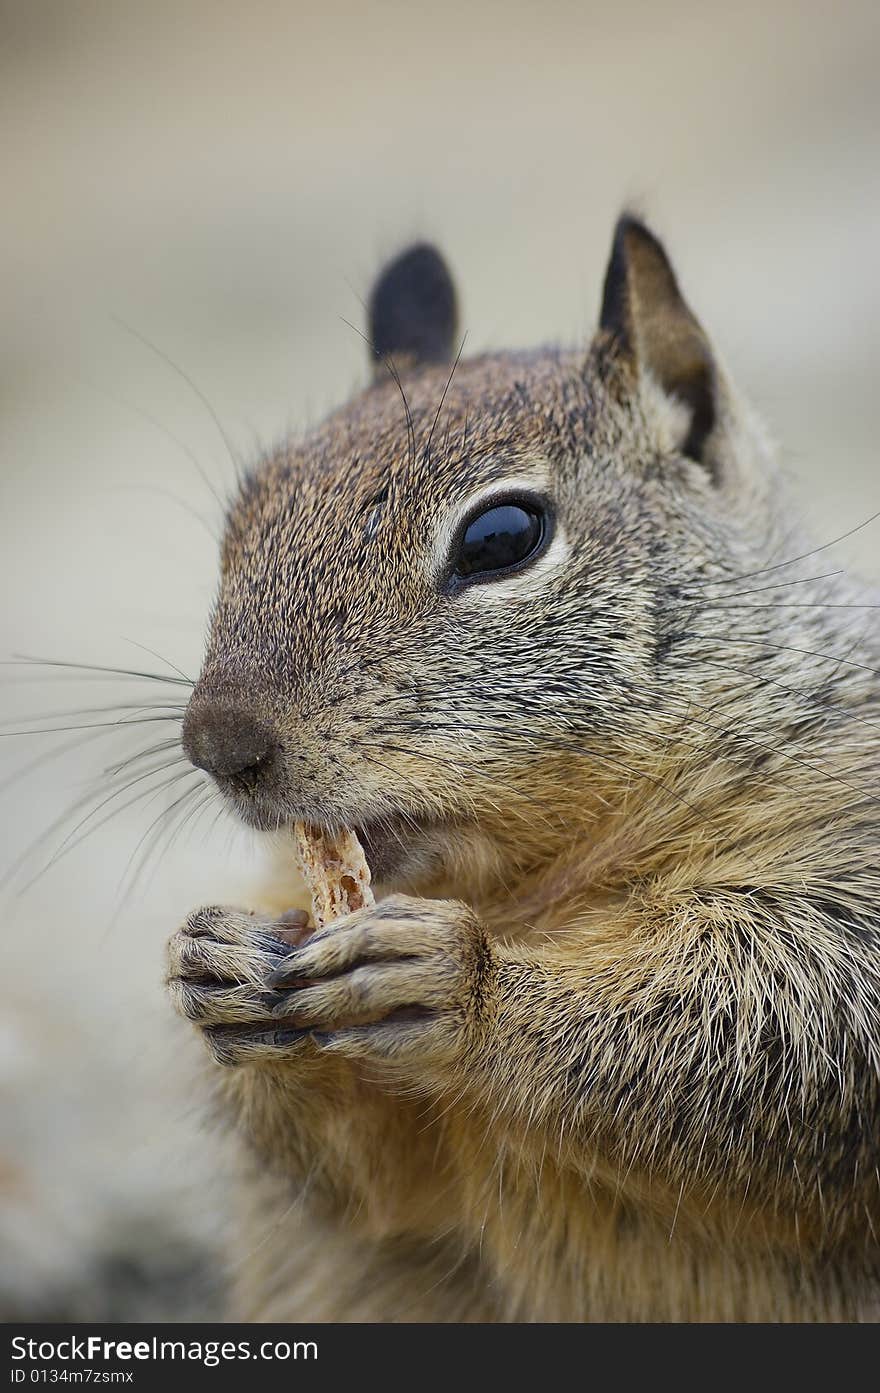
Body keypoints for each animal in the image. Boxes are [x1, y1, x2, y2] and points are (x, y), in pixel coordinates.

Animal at [165, 214, 880, 1314]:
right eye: (245, 515)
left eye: (503, 537)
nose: (218, 743)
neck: (525, 889)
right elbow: (375, 1181)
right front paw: (218, 960)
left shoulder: (850, 867)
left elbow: (784, 1020)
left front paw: (459, 987)